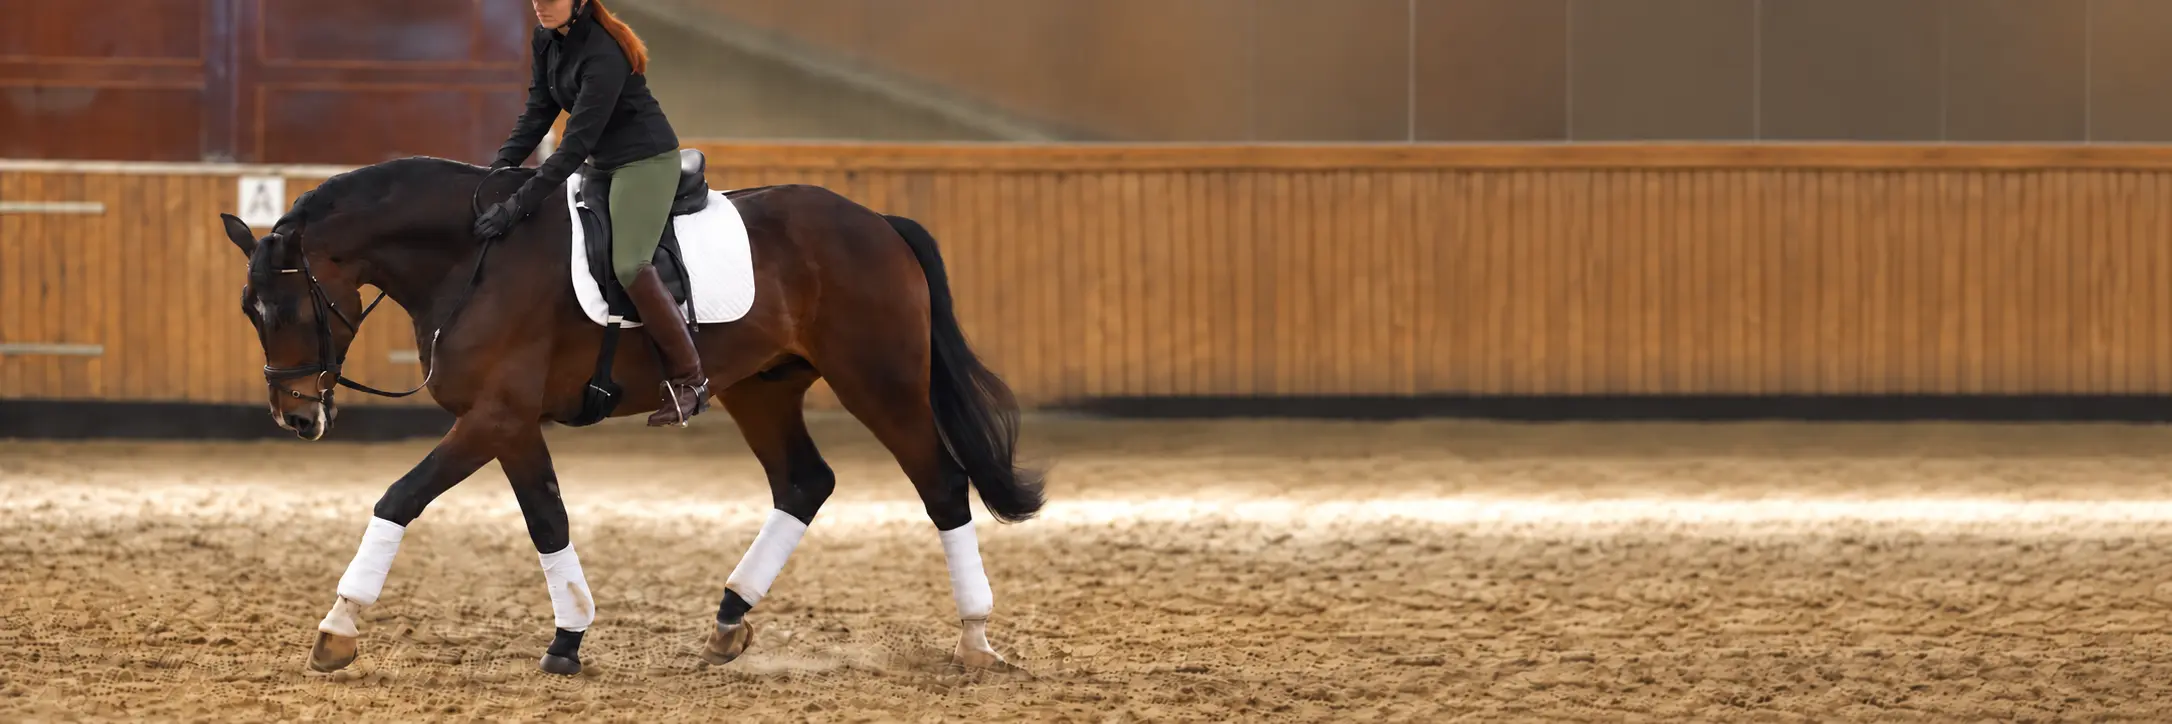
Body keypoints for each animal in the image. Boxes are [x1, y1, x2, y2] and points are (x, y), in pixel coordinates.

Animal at [216, 154, 1045, 676]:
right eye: (247, 312)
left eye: (286, 307)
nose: (296, 417)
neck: (470, 260)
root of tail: (875, 219)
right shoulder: (511, 423)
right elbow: (548, 519)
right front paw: (568, 639)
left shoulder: (492, 415)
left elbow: (399, 499)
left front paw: (337, 629)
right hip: (761, 386)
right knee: (804, 482)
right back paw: (729, 620)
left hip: (880, 380)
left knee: (942, 487)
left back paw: (975, 641)